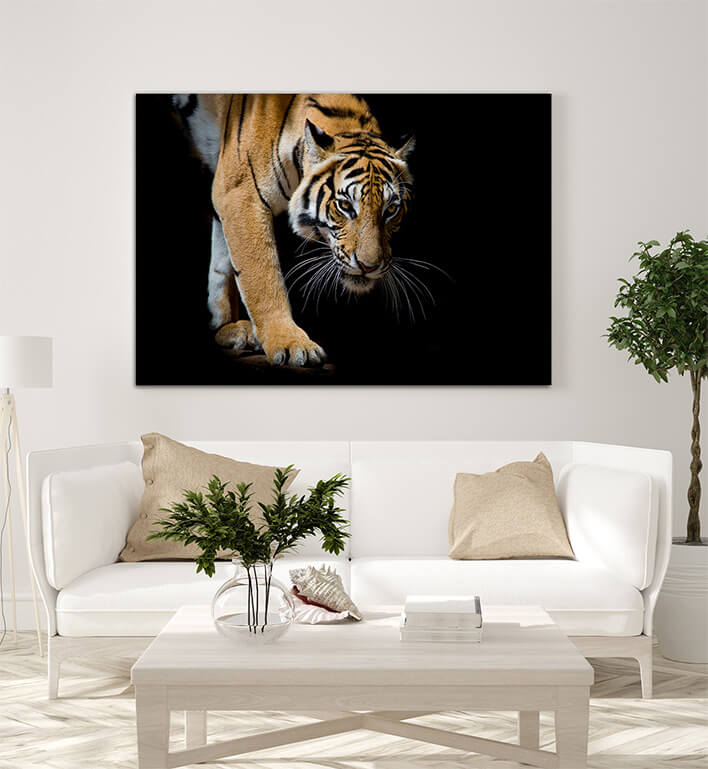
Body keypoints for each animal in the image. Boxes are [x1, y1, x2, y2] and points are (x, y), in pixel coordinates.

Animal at [172, 94, 415, 366]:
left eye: (391, 209)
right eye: (344, 206)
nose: (369, 267)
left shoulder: (226, 195)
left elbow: (222, 262)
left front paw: (226, 327)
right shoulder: (240, 193)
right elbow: (262, 278)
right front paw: (289, 342)